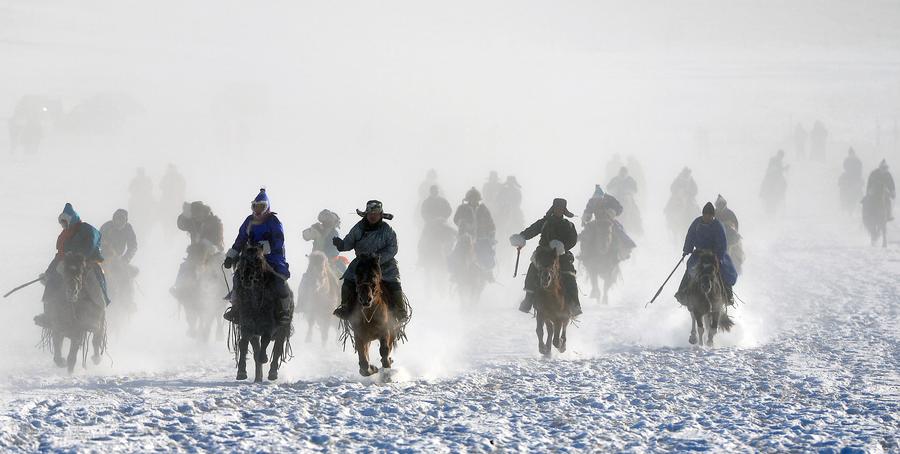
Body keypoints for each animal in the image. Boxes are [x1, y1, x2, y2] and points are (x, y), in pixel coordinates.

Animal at [232, 243, 292, 382]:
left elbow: (266, 341)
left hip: (283, 329)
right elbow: (243, 344)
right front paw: (241, 372)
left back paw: (272, 373)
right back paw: (258, 377)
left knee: (277, 348)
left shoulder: (269, 327)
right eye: (242, 258)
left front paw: (263, 358)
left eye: (258, 259)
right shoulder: (247, 327)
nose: (246, 278)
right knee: (256, 350)